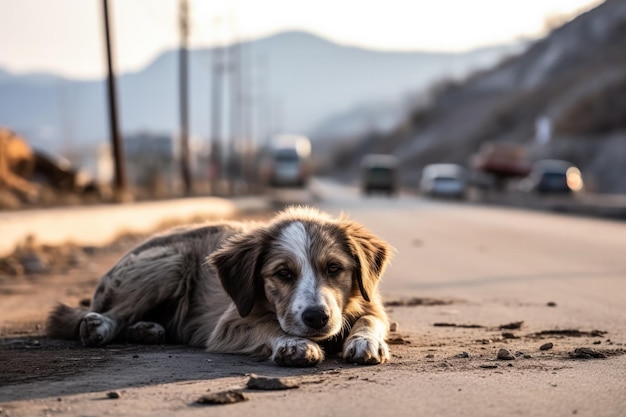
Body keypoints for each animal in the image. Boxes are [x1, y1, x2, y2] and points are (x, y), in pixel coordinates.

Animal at [46, 205, 392, 364]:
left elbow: (371, 319)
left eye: (334, 268)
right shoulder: (230, 323)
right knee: (113, 312)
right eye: (283, 274)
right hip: (172, 263)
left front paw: (365, 341)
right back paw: (100, 325)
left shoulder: (371, 303)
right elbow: (269, 325)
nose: (317, 317)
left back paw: (147, 329)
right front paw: (293, 344)